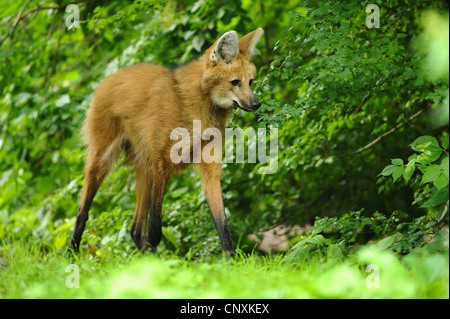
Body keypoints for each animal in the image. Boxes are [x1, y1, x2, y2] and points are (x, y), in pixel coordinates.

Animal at [67, 27, 264, 258]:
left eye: (250, 82)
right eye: (235, 82)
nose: (256, 104)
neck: (195, 108)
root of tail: (110, 77)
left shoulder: (209, 168)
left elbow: (222, 225)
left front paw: (231, 261)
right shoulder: (161, 163)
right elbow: (155, 228)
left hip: (145, 167)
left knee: (135, 229)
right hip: (103, 158)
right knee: (82, 211)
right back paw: (71, 253)